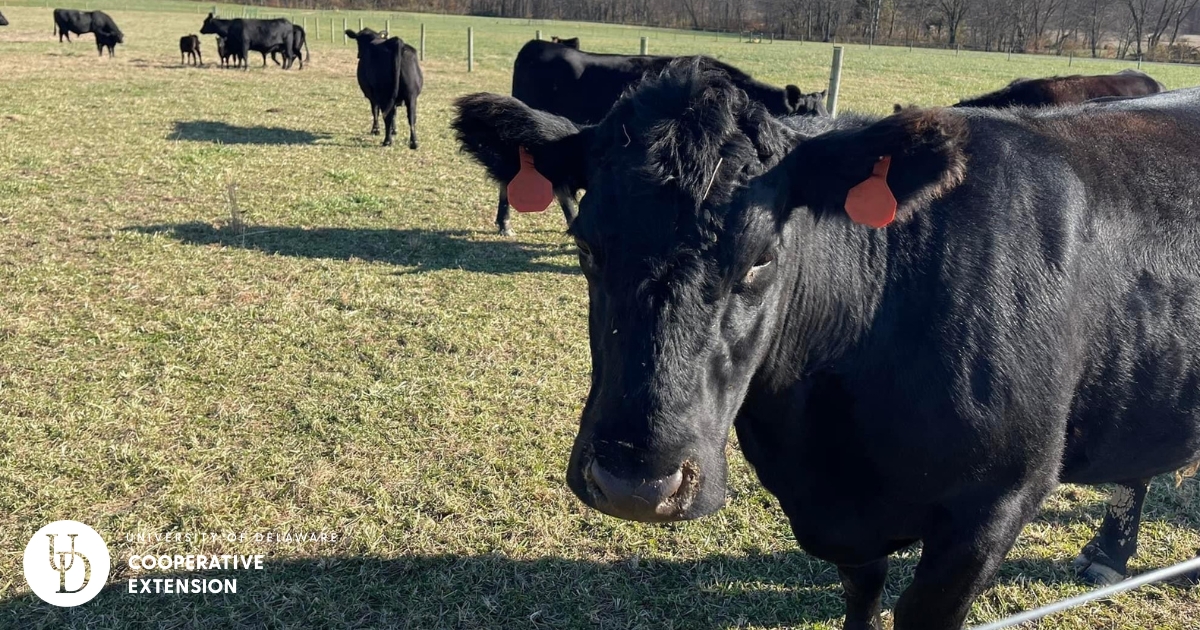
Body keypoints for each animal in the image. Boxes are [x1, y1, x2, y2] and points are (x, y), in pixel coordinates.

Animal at [451, 60, 1200, 630]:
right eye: (587, 244)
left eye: (761, 257)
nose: (637, 483)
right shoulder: (839, 523)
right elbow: (861, 598)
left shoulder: (997, 502)